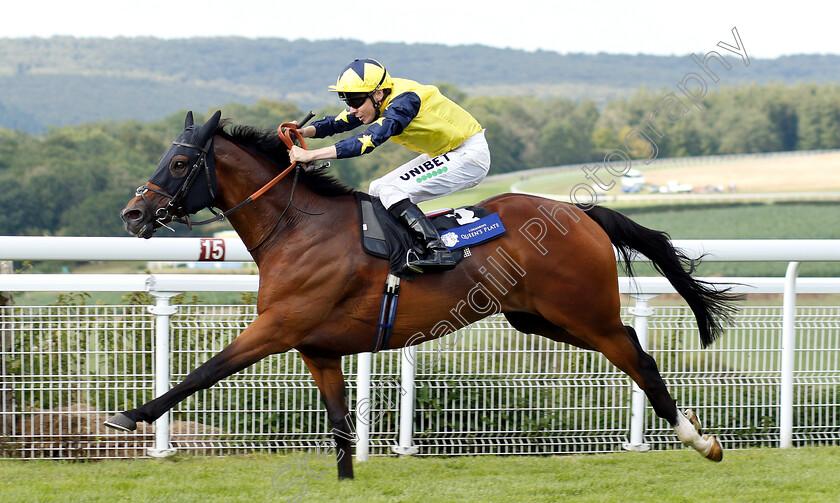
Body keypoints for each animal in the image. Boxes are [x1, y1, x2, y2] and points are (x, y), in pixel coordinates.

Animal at [110, 111, 736, 480]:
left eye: (180, 161)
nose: (133, 214)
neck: (298, 228)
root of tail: (579, 213)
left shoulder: (280, 326)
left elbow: (205, 371)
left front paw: (131, 416)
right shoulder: (319, 350)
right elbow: (340, 427)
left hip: (582, 310)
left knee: (637, 355)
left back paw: (700, 440)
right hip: (537, 317)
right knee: (628, 345)